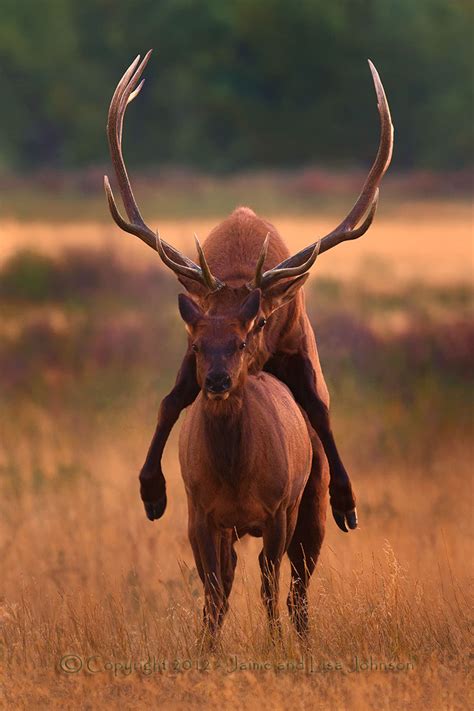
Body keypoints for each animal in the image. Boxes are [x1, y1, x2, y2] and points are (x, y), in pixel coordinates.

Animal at [105, 50, 394, 536]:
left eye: (259, 321)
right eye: (200, 331)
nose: (222, 377)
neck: (241, 269)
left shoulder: (296, 340)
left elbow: (319, 409)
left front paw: (346, 500)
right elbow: (170, 400)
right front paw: (151, 490)